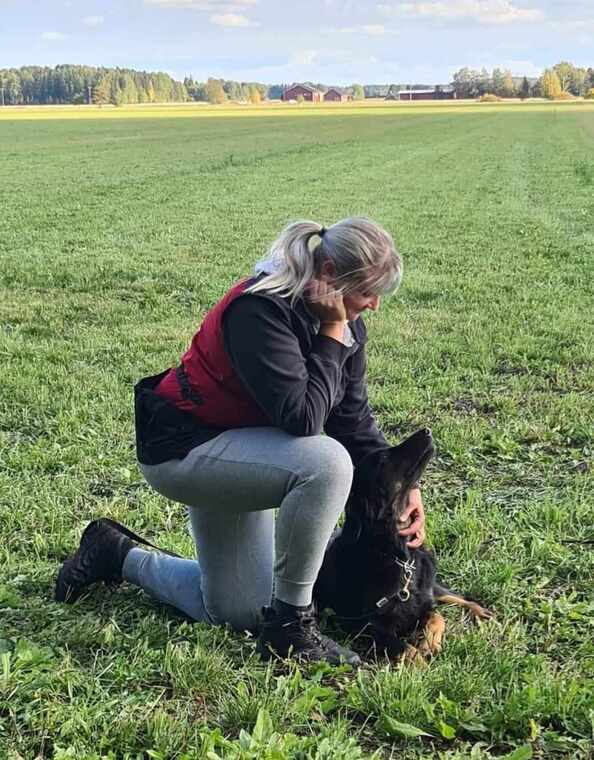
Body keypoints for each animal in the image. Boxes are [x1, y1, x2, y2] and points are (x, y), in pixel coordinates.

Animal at [314, 428, 493, 660]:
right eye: (383, 459)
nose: (426, 430)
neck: (398, 555)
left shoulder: (422, 605)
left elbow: (436, 616)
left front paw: (428, 642)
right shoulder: (372, 629)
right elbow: (408, 650)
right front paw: (423, 656)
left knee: (453, 595)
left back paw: (482, 611)